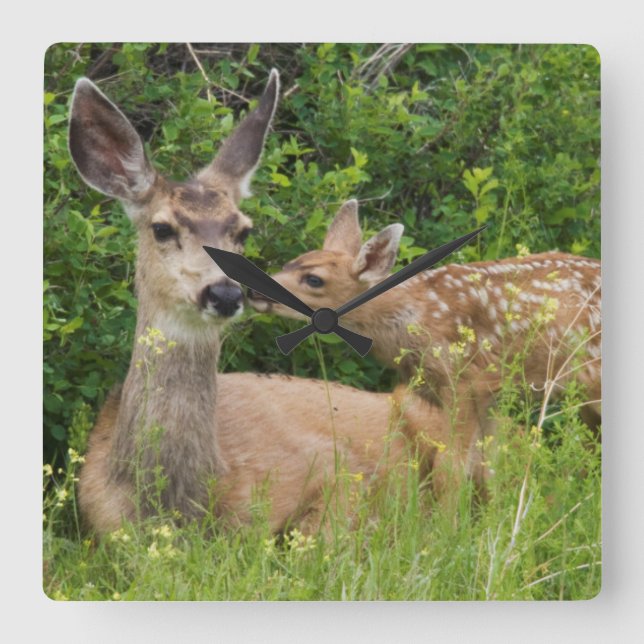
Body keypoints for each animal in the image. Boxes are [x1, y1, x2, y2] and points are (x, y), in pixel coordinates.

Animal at [249, 200, 602, 491]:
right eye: (292, 262)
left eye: (314, 279)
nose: (253, 291)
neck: (415, 316)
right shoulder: (488, 394)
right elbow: (487, 467)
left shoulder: (465, 379)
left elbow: (452, 467)